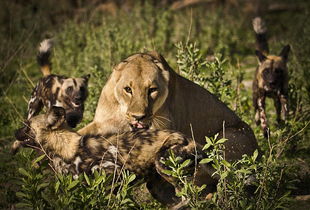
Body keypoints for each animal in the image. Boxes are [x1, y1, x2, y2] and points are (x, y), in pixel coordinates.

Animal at [13, 106, 214, 207]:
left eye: (26, 126)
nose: (14, 132)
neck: (64, 148)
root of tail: (190, 139)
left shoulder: (115, 175)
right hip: (157, 186)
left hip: (165, 165)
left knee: (193, 196)